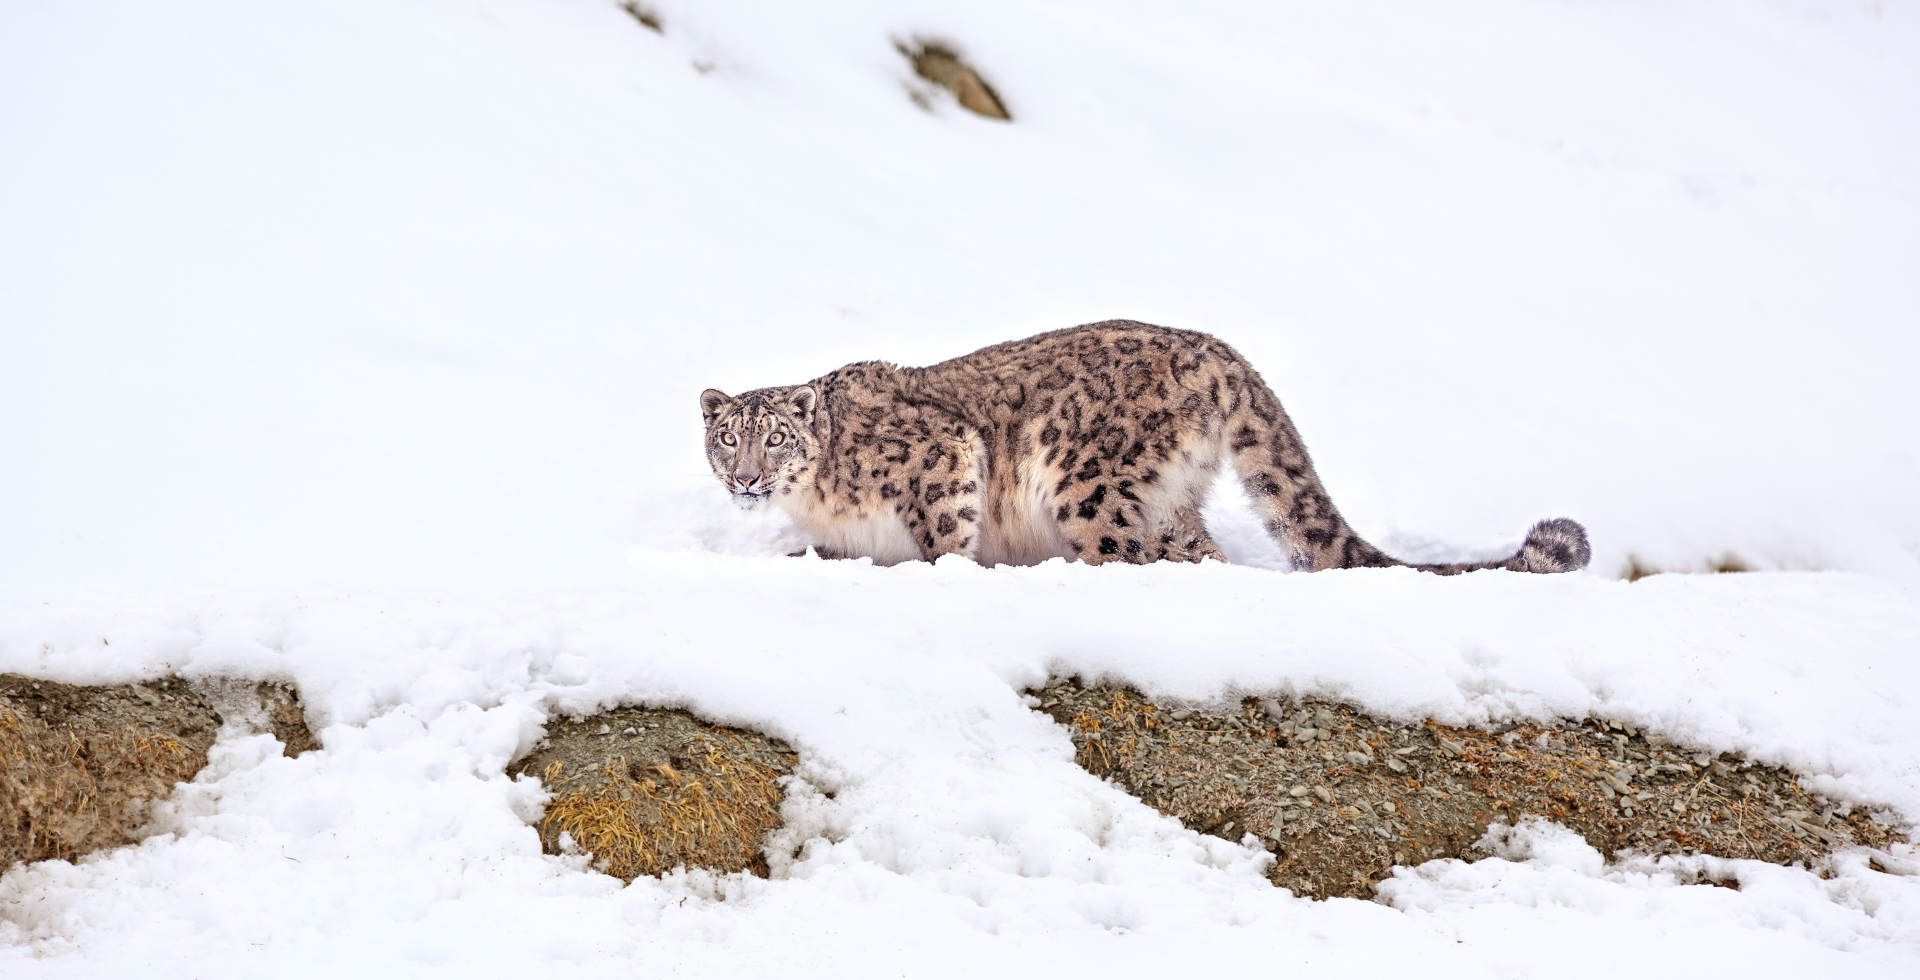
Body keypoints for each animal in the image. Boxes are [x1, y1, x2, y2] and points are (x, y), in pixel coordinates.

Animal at [698, 318, 1582, 572]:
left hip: (1087, 481)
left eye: (776, 438)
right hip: (1170, 500)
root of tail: (1218, 352)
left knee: (1118, 551)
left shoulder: (942, 459)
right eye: (727, 439)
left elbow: (945, 536)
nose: (743, 480)